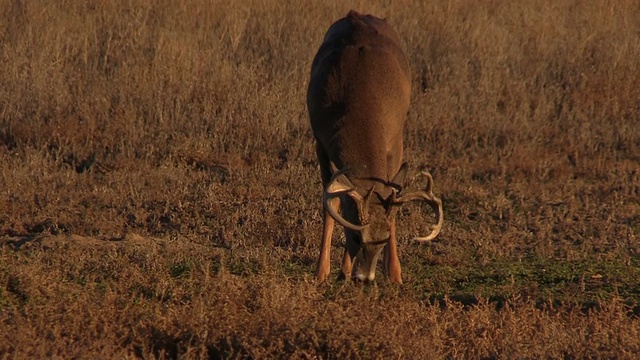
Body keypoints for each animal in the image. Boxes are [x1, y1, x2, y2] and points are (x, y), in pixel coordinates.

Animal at [308, 10, 442, 284]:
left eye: (383, 240)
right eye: (356, 236)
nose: (365, 278)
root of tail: (356, 13)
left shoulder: (395, 141)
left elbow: (392, 201)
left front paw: (395, 273)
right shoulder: (321, 142)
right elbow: (331, 204)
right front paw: (322, 272)